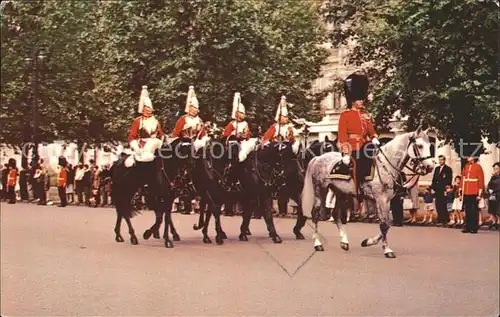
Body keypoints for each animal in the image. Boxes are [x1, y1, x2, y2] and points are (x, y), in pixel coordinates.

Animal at [300, 126, 434, 256]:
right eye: (420, 145)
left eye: (430, 145)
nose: (430, 167)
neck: (386, 165)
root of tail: (318, 158)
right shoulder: (380, 198)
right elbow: (384, 224)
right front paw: (386, 250)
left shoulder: (387, 200)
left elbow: (387, 223)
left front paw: (369, 242)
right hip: (320, 190)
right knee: (315, 214)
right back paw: (318, 244)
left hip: (340, 192)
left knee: (336, 213)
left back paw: (344, 242)